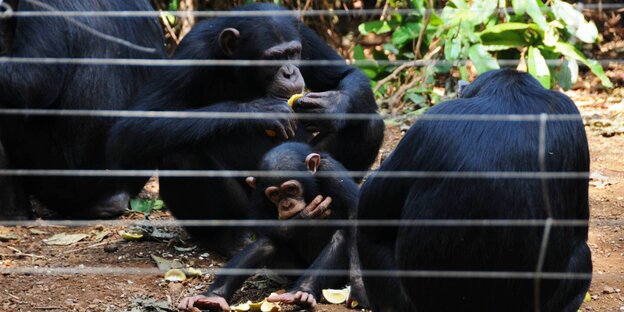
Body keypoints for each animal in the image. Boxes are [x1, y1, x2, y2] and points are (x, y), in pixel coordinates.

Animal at [107, 3, 386, 256]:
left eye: (293, 52)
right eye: (274, 57)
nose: (290, 72)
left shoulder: (305, 36)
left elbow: (345, 74)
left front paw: (331, 106)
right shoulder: (193, 52)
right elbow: (135, 125)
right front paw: (260, 112)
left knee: (368, 123)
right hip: (251, 210)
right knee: (179, 156)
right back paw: (227, 239)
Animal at [177, 143, 366, 310]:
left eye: (291, 189)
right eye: (274, 194)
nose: (287, 205)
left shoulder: (332, 173)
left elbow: (355, 214)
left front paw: (359, 289)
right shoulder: (258, 194)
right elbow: (263, 225)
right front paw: (306, 215)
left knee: (341, 237)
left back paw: (302, 292)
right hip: (290, 269)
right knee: (266, 243)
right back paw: (213, 297)